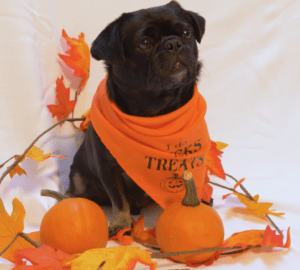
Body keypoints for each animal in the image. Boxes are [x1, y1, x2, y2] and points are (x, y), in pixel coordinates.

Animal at [65, 0, 206, 236]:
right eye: (145, 44)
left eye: (187, 33)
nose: (174, 44)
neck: (156, 110)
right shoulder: (107, 168)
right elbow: (119, 199)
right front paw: (121, 223)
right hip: (78, 176)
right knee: (75, 192)